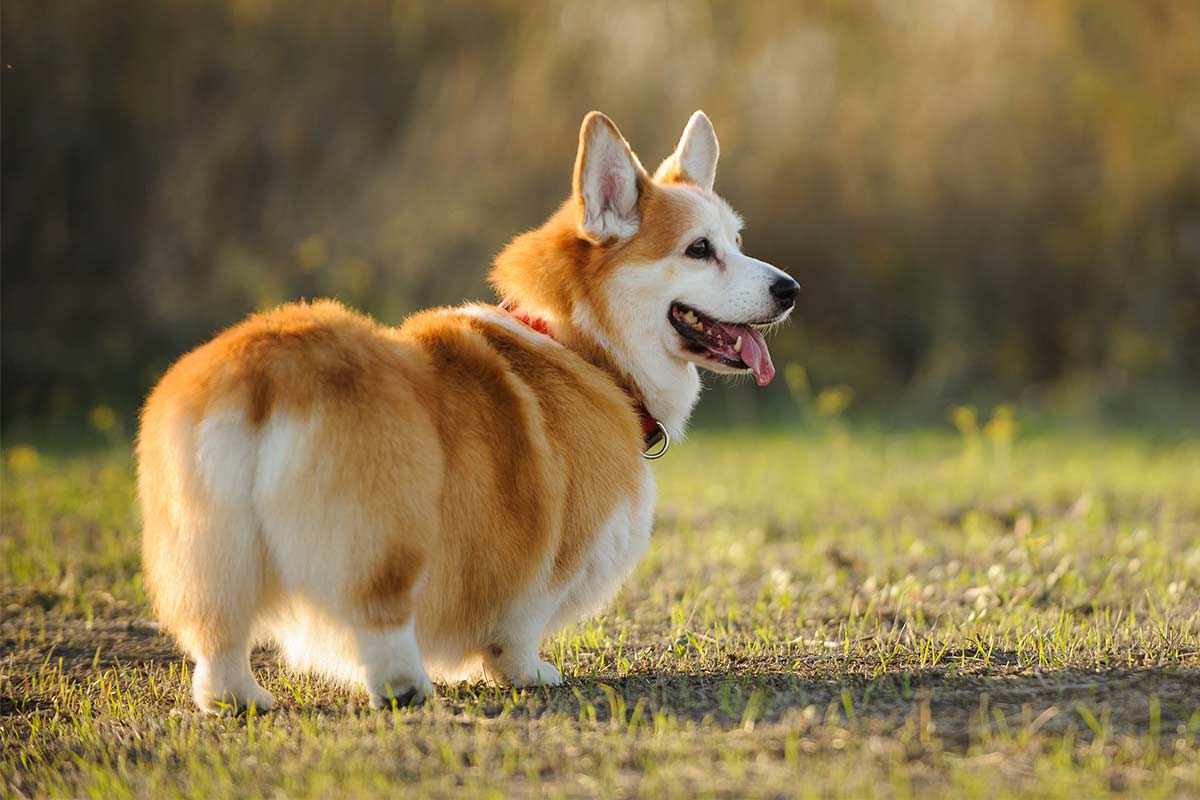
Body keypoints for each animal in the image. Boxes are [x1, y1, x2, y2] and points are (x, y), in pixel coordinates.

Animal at [138, 107, 796, 714]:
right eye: (699, 249)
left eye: (737, 243)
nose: (790, 289)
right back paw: (406, 687)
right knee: (380, 617)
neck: (581, 342)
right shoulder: (551, 551)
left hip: (211, 543)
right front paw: (528, 673)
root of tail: (265, 370)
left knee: (219, 636)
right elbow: (519, 621)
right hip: (385, 531)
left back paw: (240, 698)